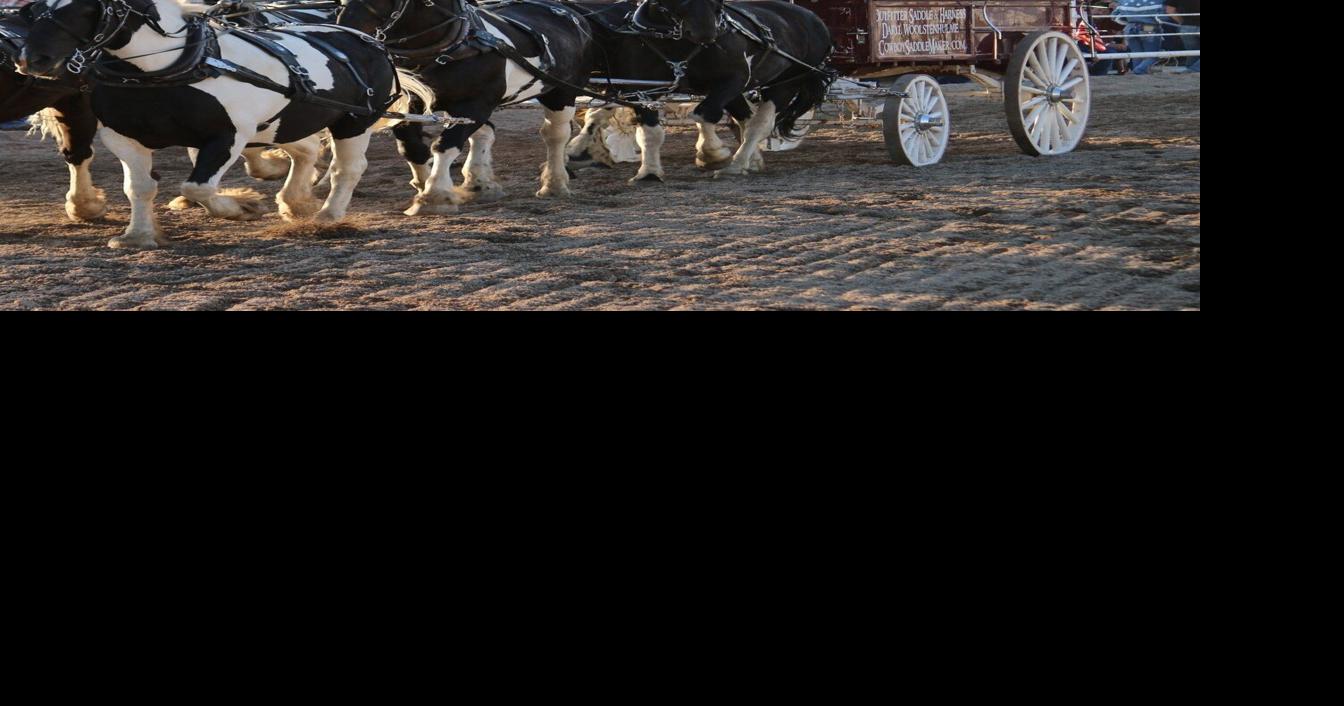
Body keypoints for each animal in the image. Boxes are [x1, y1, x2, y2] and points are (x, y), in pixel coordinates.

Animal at [344, 0, 596, 215]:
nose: (347, 32)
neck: (450, 47)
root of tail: (570, 13)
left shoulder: (475, 105)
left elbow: (445, 145)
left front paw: (434, 196)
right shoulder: (413, 102)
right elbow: (411, 146)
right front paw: (425, 184)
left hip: (561, 92)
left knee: (555, 135)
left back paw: (554, 183)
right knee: (486, 132)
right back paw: (479, 182)